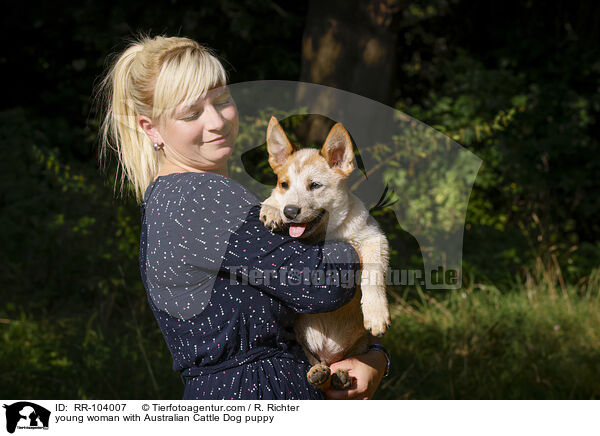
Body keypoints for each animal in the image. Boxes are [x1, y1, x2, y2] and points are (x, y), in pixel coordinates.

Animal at [260, 117, 392, 390]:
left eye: (315, 186)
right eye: (284, 184)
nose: (290, 211)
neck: (322, 235)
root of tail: (329, 356)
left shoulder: (374, 239)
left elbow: (373, 275)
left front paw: (376, 313)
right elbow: (271, 197)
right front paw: (271, 208)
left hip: (358, 347)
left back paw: (340, 375)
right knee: (313, 364)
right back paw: (318, 372)